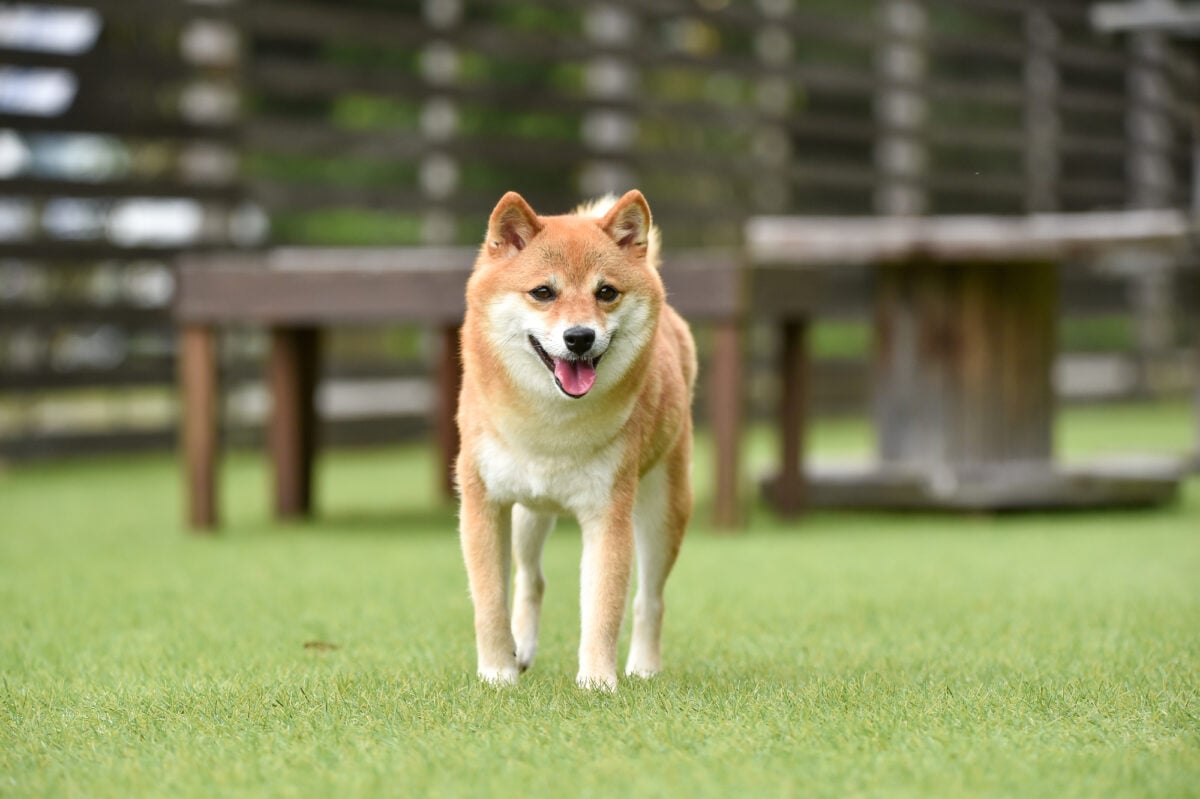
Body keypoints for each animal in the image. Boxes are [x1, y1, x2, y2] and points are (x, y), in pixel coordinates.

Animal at [453, 189, 700, 686]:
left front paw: (598, 682)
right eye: (543, 292)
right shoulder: (483, 502)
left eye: (606, 292)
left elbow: (603, 608)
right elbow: (489, 601)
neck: (551, 424)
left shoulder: (607, 515)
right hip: (528, 513)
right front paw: (497, 673)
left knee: (650, 598)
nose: (580, 337)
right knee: (531, 579)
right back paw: (521, 649)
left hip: (662, 510)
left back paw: (644, 667)